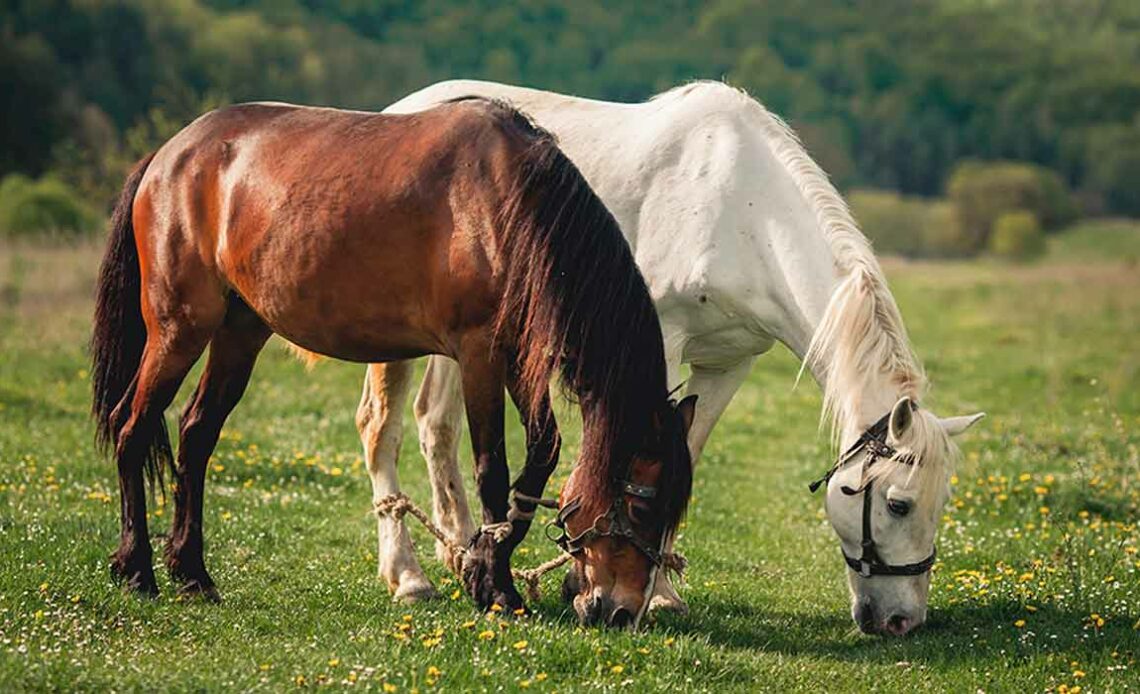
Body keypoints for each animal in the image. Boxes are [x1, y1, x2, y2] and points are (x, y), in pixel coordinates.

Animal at [88, 97, 693, 624]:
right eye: (642, 507)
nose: (621, 612)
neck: (510, 206)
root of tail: (169, 155)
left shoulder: (519, 357)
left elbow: (541, 454)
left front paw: (483, 566)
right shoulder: (480, 354)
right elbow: (492, 470)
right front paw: (496, 586)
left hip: (240, 334)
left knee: (196, 435)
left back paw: (192, 573)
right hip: (178, 330)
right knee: (132, 427)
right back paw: (137, 569)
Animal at [355, 79, 980, 633]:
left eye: (942, 501)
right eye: (898, 504)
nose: (901, 621)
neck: (744, 213)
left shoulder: (729, 364)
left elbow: (687, 454)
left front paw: (653, 588)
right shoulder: (660, 348)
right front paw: (619, 587)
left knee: (436, 424)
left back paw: (462, 551)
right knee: (381, 428)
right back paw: (409, 576)